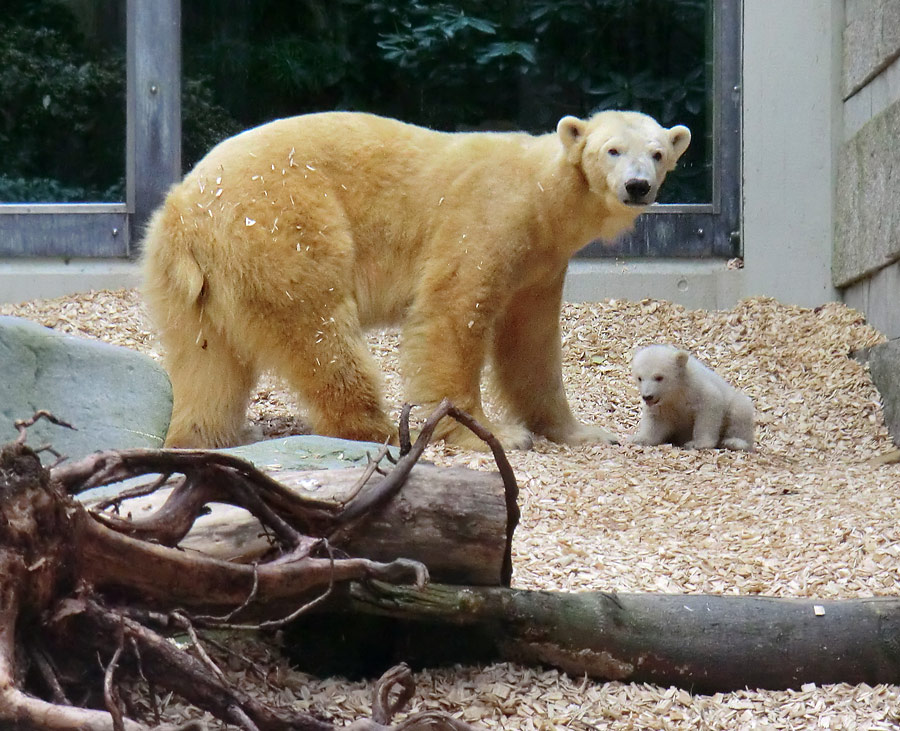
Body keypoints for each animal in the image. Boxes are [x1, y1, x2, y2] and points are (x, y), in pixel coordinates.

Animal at [142, 111, 688, 448]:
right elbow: (453, 311)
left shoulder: (542, 263)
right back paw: (380, 428)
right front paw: (487, 433)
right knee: (319, 331)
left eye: (658, 152)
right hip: (282, 227)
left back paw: (210, 434)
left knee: (207, 359)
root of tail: (186, 209)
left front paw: (583, 432)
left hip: (192, 281)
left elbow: (531, 345)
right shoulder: (488, 216)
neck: (543, 197)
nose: (637, 186)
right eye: (613, 150)